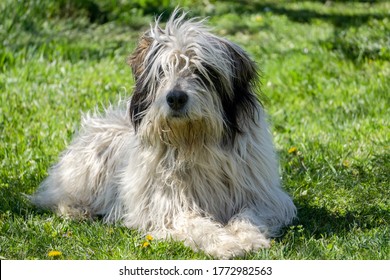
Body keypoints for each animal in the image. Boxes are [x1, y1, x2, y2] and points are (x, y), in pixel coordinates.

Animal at [32, 10, 296, 260]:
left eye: (201, 71)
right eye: (162, 71)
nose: (176, 98)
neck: (194, 141)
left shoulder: (263, 198)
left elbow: (249, 216)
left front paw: (247, 237)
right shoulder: (168, 206)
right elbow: (196, 224)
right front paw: (225, 243)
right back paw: (75, 210)